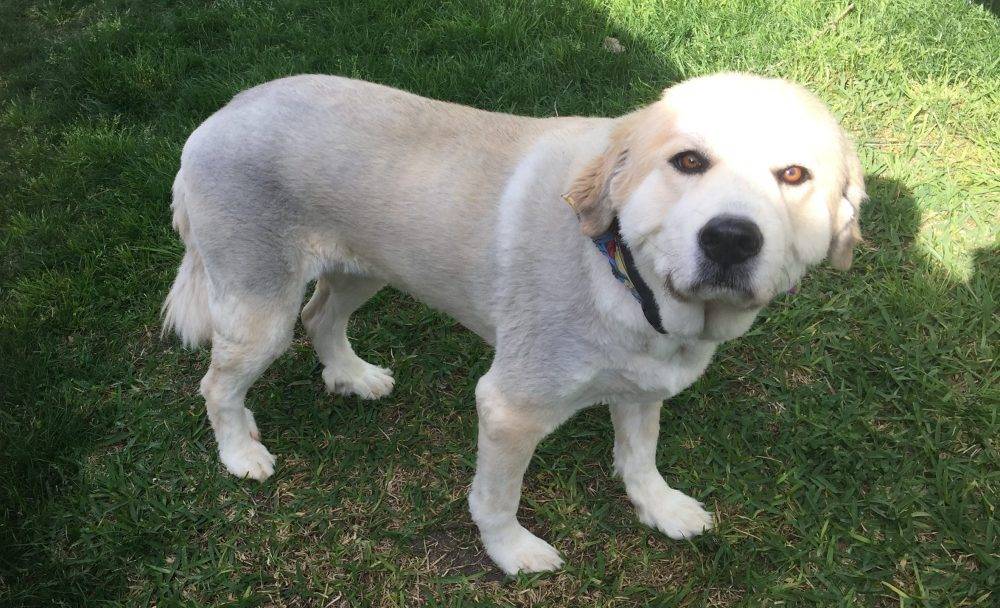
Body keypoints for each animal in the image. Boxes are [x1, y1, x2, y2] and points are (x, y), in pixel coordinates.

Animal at [164, 72, 868, 576]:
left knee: (320, 316)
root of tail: (217, 116)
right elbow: (497, 498)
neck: (622, 269)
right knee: (218, 384)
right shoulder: (510, 407)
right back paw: (241, 452)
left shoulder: (643, 386)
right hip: (261, 310)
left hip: (367, 270)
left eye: (794, 175)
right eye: (689, 161)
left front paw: (659, 507)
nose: (730, 239)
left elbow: (640, 457)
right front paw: (511, 554)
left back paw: (349, 376)